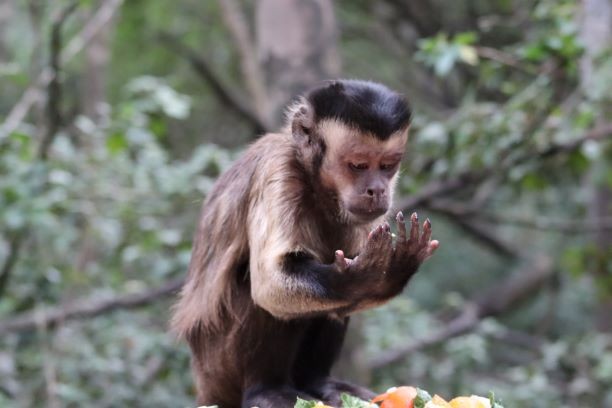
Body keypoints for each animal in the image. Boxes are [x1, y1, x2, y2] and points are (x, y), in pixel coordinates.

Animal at [171, 79, 439, 408]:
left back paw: (318, 382)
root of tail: (205, 386)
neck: (315, 182)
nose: (377, 189)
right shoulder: (277, 172)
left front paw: (388, 276)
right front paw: (367, 276)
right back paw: (266, 389)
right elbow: (270, 284)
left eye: (388, 166)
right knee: (260, 287)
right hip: (218, 366)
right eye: (359, 165)